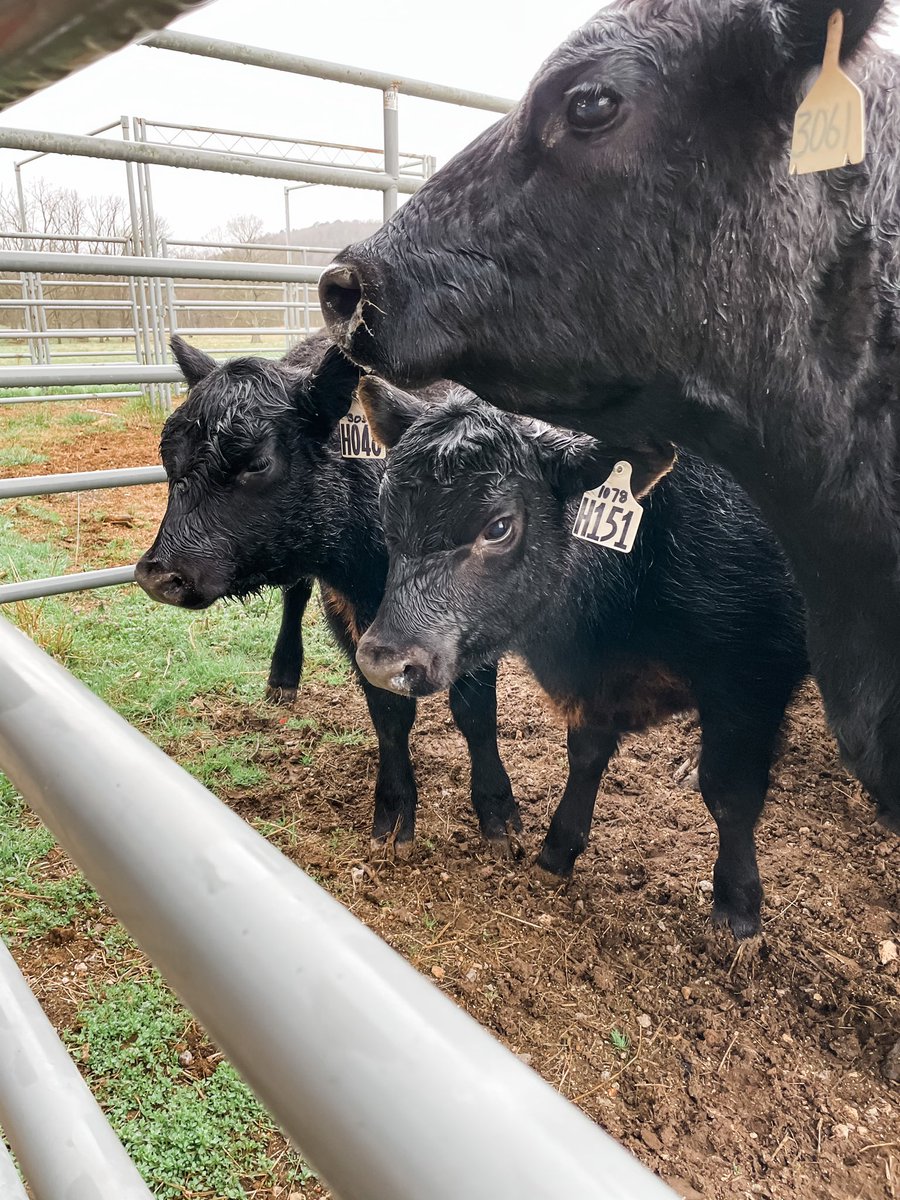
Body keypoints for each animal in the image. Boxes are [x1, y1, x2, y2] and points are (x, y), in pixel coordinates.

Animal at [135, 335, 521, 852]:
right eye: (167, 455)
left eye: (257, 462)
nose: (159, 575)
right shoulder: (352, 615)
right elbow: (389, 714)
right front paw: (394, 810)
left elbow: (475, 712)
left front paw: (497, 811)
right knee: (294, 598)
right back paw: (283, 676)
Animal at [352, 378, 812, 939]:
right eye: (385, 511)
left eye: (499, 526)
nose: (382, 661)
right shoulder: (596, 685)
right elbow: (586, 756)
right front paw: (558, 851)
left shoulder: (753, 677)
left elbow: (729, 794)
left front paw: (737, 908)